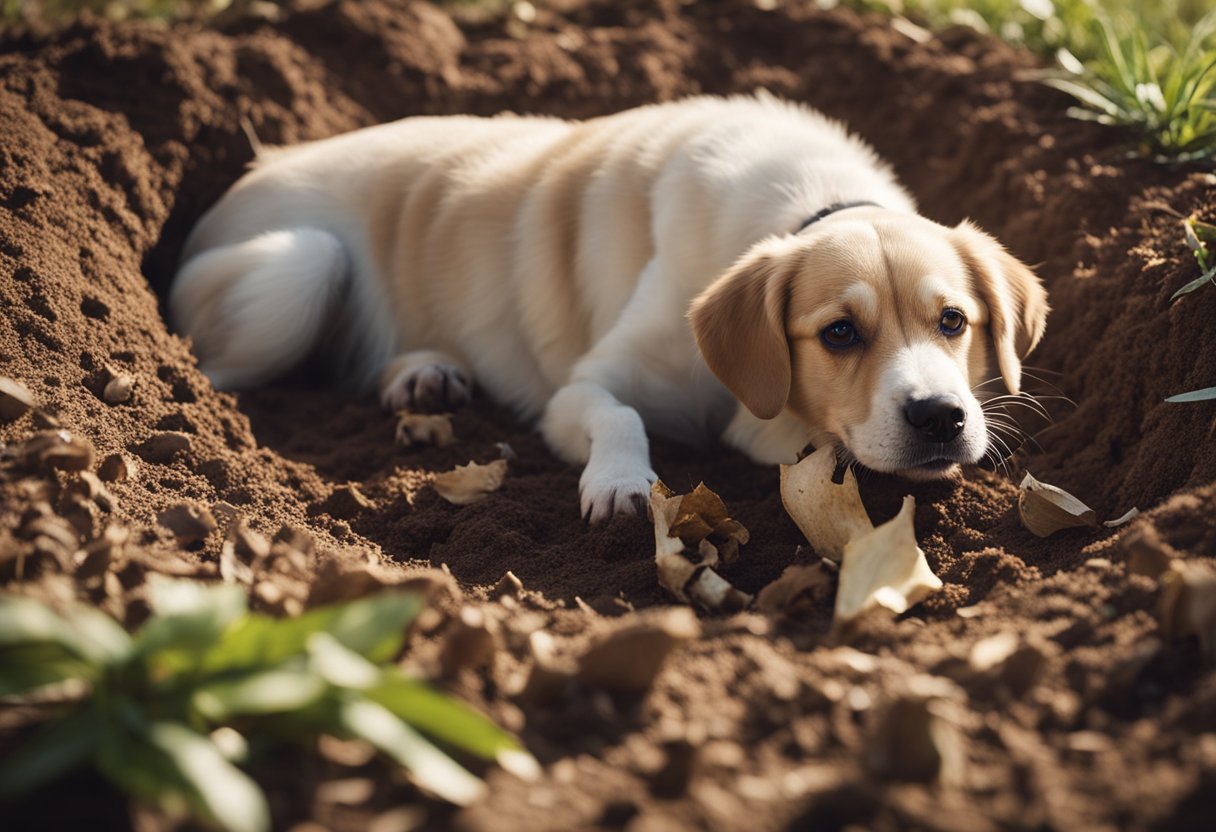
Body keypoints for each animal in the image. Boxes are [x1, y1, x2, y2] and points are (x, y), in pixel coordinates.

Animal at [169, 96, 1045, 520]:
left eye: (954, 322)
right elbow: (620, 417)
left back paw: (422, 373)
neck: (811, 205)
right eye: (839, 333)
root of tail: (256, 166)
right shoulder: (579, 394)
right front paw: (623, 482)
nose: (940, 418)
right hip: (301, 265)